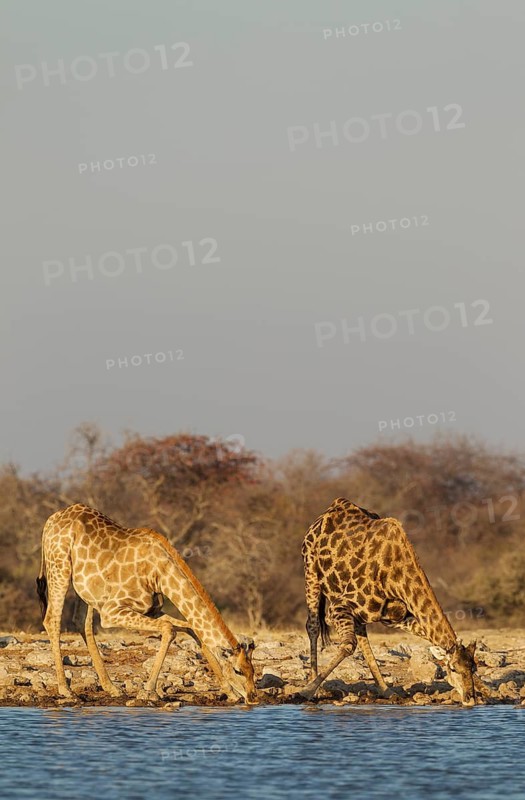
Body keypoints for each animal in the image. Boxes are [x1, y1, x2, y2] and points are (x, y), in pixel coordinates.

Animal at [36, 503, 258, 704]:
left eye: (253, 670)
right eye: (238, 670)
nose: (253, 697)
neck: (160, 575)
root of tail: (49, 522)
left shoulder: (151, 610)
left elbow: (191, 629)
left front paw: (230, 692)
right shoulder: (112, 611)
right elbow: (170, 629)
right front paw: (148, 691)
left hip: (85, 588)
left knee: (81, 622)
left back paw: (111, 688)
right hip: (60, 567)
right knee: (52, 619)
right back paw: (66, 691)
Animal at [301, 498, 477, 705]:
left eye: (474, 668)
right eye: (453, 668)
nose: (470, 698)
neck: (397, 578)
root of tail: (334, 506)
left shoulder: (396, 618)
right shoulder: (338, 606)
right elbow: (347, 645)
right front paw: (306, 691)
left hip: (359, 611)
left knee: (362, 635)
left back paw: (386, 690)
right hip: (311, 572)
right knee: (313, 626)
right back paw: (314, 686)